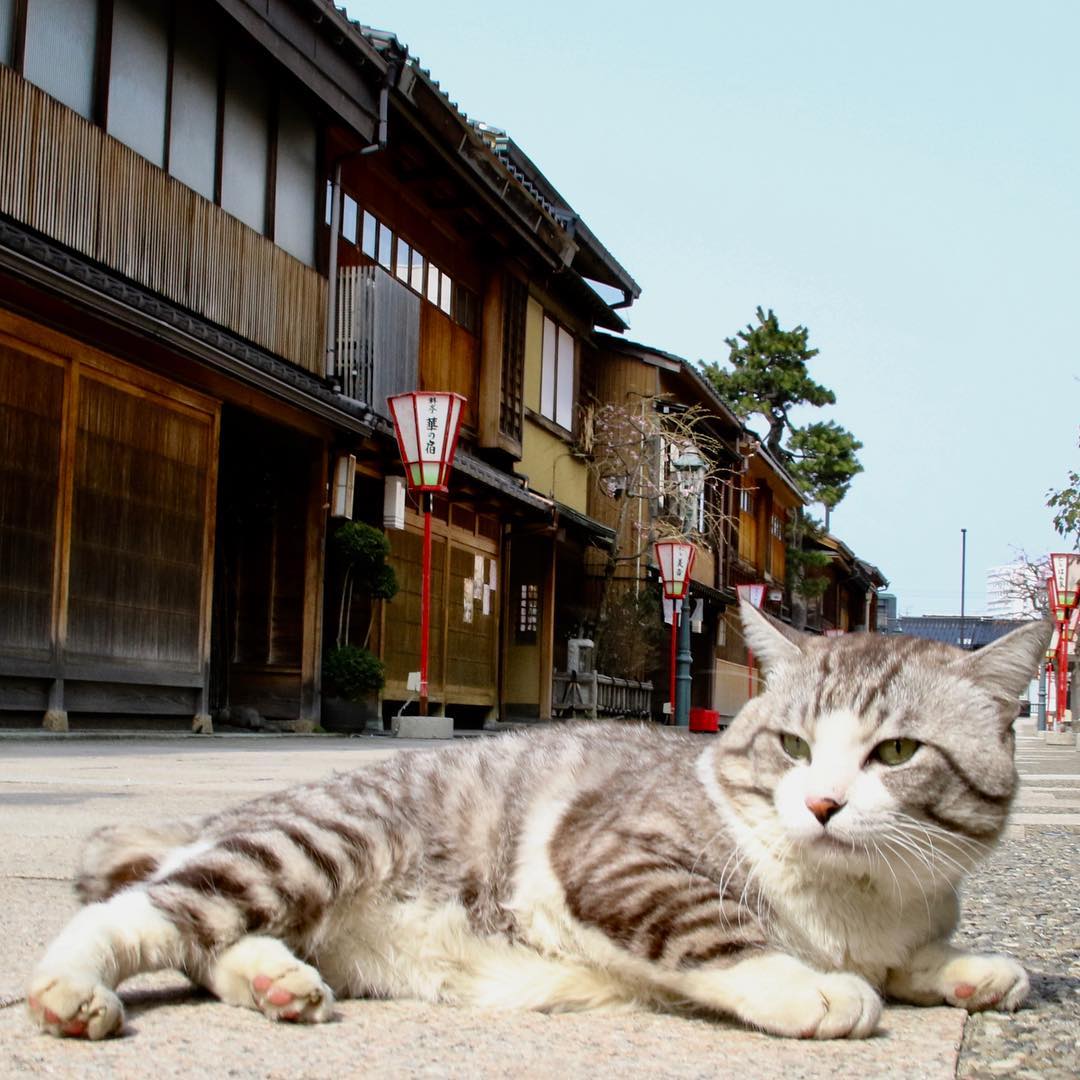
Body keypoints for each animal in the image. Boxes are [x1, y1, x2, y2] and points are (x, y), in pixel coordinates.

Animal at [29, 604, 1049, 1041]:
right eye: (793, 746)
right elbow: (717, 928)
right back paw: (71, 990)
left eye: (896, 752)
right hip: (315, 844)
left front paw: (966, 971)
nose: (823, 804)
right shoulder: (610, 855)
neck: (852, 899)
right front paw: (814, 986)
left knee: (210, 939)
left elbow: (908, 958)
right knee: (141, 912)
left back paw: (278, 981)